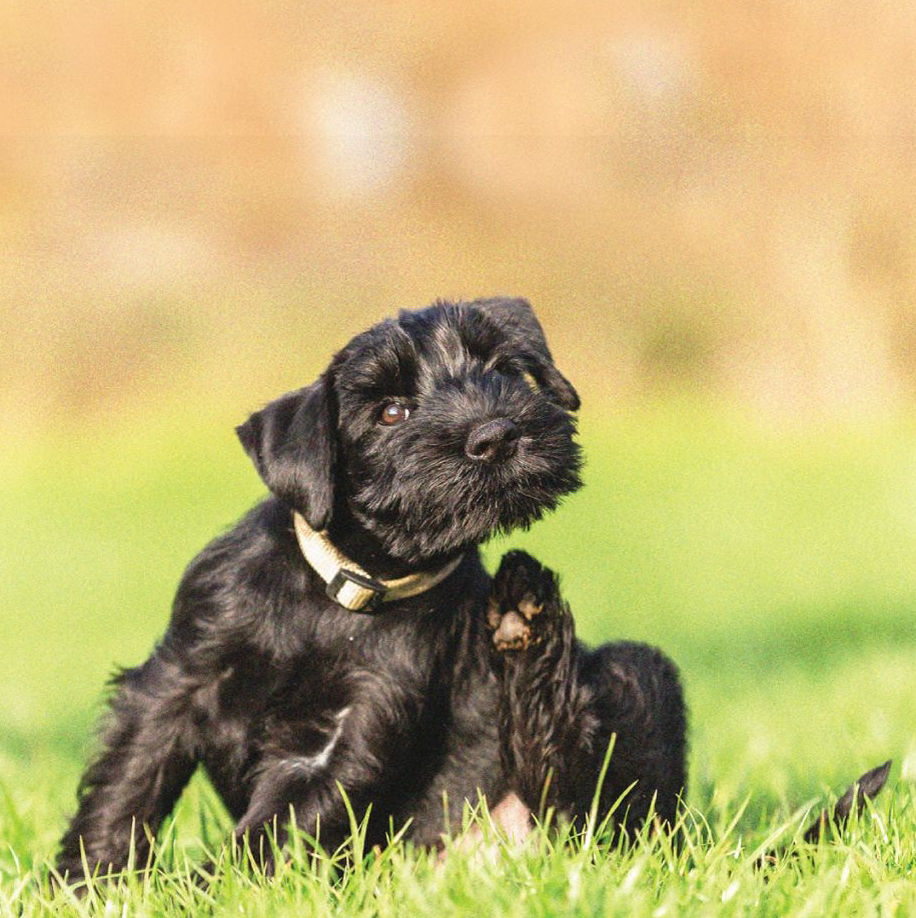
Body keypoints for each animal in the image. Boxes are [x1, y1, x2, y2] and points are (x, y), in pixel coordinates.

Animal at [55, 296, 688, 884]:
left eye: (504, 370)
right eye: (390, 411)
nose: (496, 435)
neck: (344, 589)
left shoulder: (358, 723)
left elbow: (275, 827)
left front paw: (202, 890)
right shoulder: (179, 678)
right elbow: (129, 783)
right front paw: (87, 883)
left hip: (638, 676)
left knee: (585, 809)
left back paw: (526, 613)